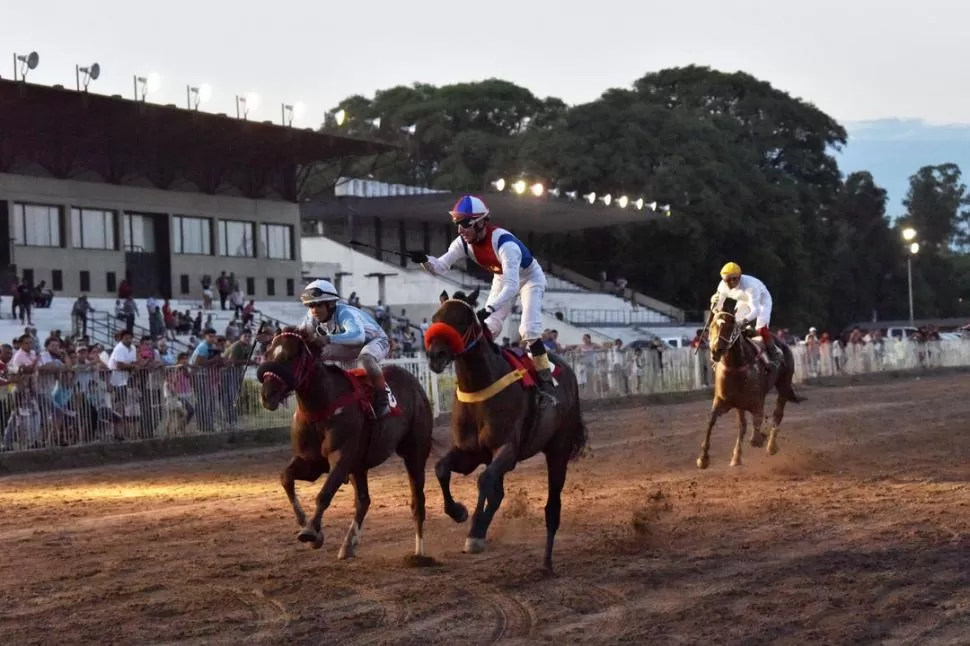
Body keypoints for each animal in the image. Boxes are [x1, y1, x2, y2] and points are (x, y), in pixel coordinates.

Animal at [255, 330, 432, 560]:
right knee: (364, 500)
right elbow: (286, 478)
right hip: (359, 466)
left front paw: (311, 532)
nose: (267, 395)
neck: (321, 406)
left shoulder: (342, 458)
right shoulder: (311, 462)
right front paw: (306, 525)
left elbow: (324, 494)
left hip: (415, 452)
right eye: (267, 353)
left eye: (289, 356)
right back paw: (348, 545)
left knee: (417, 500)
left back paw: (419, 553)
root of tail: (415, 383)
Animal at [422, 292, 588, 576]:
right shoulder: (469, 453)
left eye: (463, 320)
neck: (480, 386)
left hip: (558, 449)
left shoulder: (507, 449)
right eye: (435, 318)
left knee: (552, 506)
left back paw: (547, 562)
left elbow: (484, 480)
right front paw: (458, 511)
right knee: (497, 490)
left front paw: (475, 532)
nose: (435, 355)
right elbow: (442, 468)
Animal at [696, 298, 800, 470]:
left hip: (784, 384)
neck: (737, 366)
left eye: (730, 325)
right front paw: (703, 458)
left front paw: (762, 437)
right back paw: (736, 457)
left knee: (778, 414)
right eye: (712, 326)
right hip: (741, 404)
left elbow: (755, 434)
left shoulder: (757, 402)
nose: (716, 351)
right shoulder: (722, 401)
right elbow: (711, 421)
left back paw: (771, 446)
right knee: (743, 425)